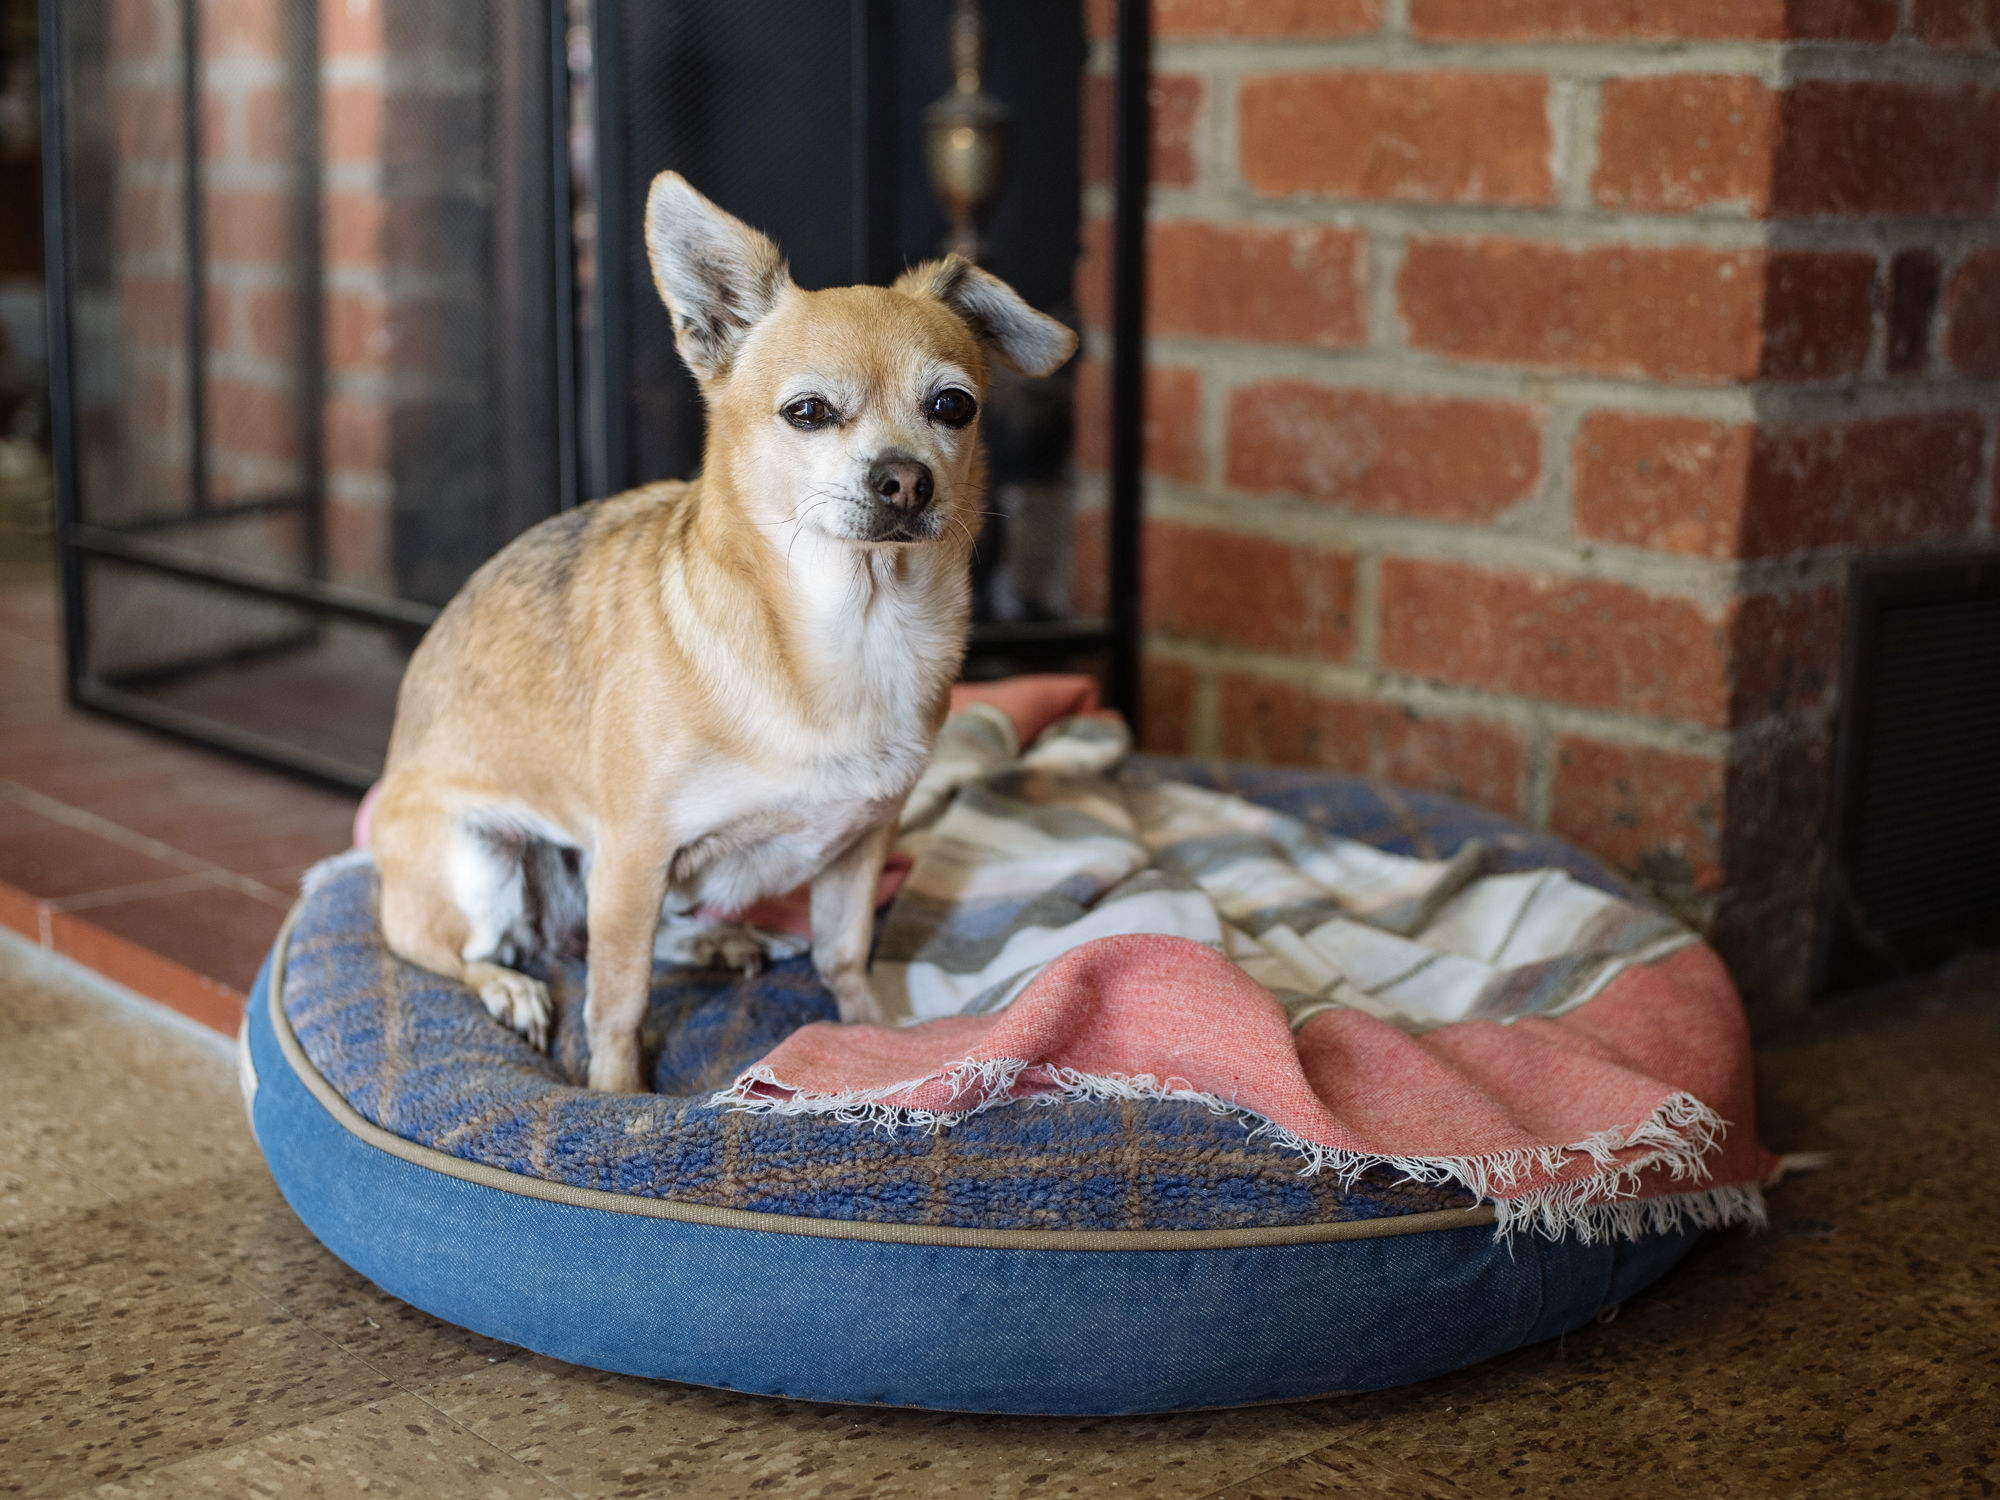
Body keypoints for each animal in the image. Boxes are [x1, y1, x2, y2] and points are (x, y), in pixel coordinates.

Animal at [366, 173, 1072, 1096]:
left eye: (953, 406)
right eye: (807, 412)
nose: (906, 479)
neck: (855, 630)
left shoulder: (861, 846)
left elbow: (843, 952)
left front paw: (874, 1032)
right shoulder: (635, 852)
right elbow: (618, 1003)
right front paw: (619, 1096)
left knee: (623, 938)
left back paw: (713, 937)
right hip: (482, 863)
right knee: (461, 952)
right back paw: (509, 986)